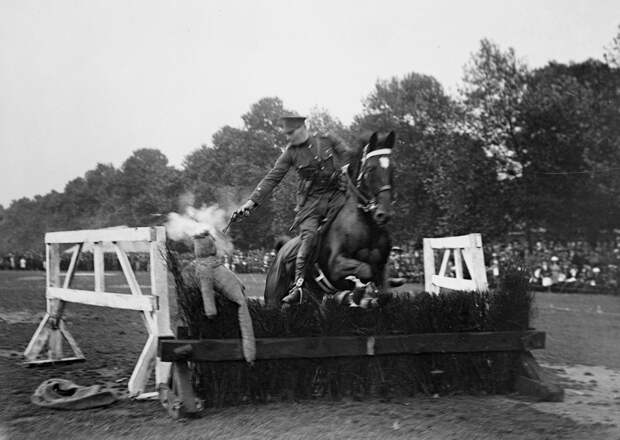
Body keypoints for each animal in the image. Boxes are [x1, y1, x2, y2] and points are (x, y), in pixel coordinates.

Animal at [264, 131, 394, 306]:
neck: (367, 227)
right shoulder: (336, 266)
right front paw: (357, 293)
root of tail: (280, 253)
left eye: (392, 168)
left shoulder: (382, 267)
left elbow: (385, 291)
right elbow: (365, 270)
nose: (383, 214)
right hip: (273, 300)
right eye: (371, 169)